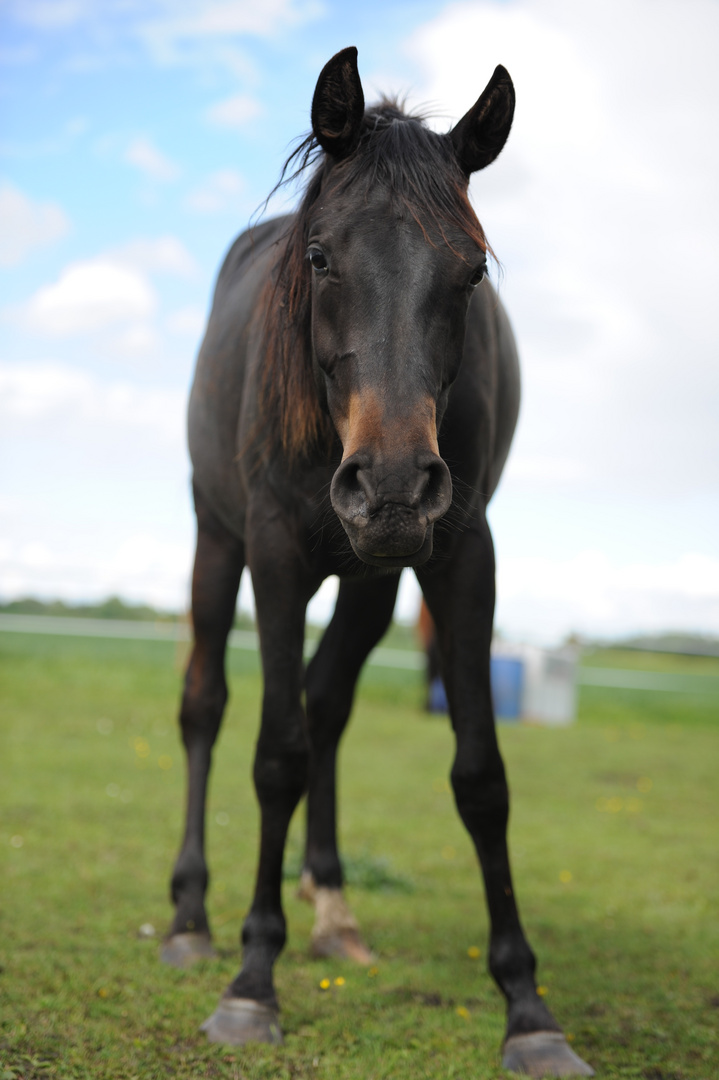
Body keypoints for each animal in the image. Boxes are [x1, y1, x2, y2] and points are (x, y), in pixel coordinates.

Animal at [164, 46, 591, 1075]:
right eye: (321, 257)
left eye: (471, 272)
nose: (393, 483)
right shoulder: (274, 554)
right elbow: (273, 756)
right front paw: (251, 983)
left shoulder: (459, 554)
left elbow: (479, 776)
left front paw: (527, 1006)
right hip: (215, 541)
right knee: (206, 707)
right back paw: (192, 918)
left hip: (372, 578)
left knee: (327, 705)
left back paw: (331, 909)